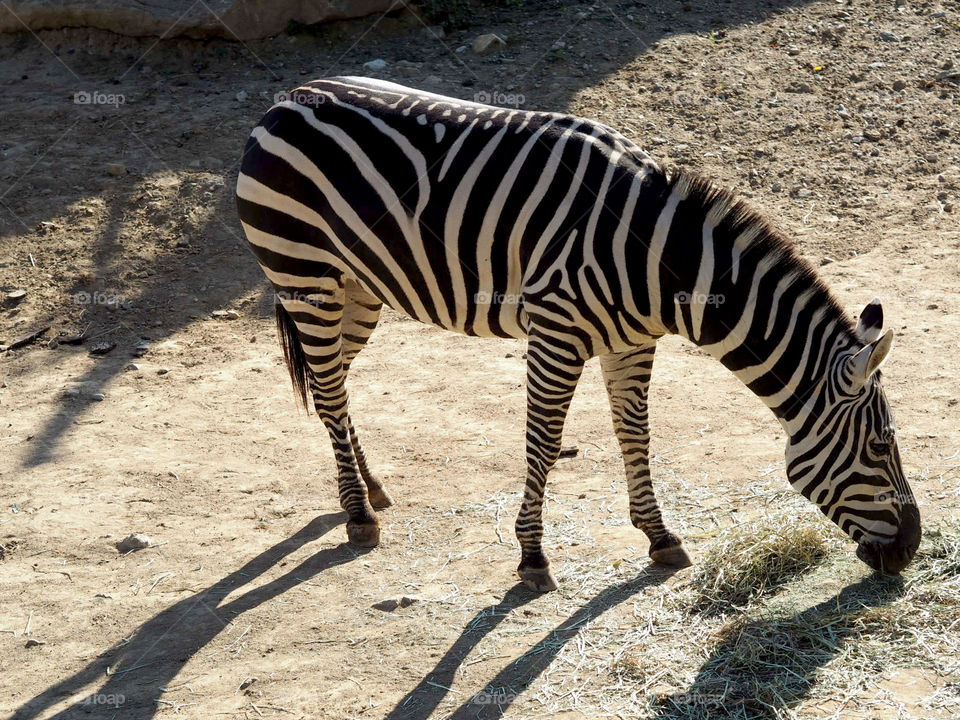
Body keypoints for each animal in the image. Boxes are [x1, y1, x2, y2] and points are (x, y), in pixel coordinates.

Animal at [235, 76, 920, 591]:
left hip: (358, 289)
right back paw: (357, 514)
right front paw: (533, 557)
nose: (912, 548)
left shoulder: (632, 341)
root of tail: (285, 99)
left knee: (334, 383)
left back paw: (370, 488)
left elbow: (635, 434)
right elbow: (543, 443)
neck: (656, 259)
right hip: (306, 276)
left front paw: (659, 536)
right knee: (327, 386)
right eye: (879, 447)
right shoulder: (556, 334)